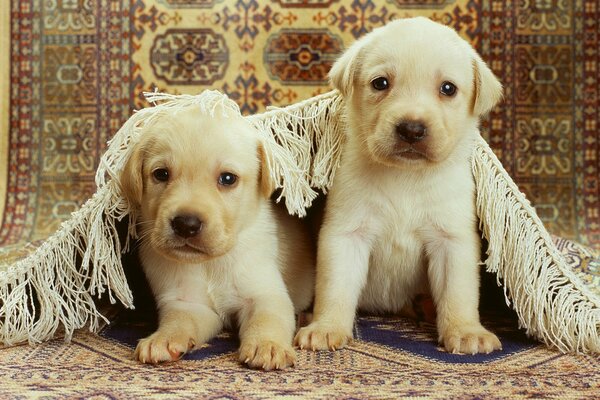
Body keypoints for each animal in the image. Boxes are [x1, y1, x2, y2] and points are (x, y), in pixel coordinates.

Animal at [122, 100, 316, 368]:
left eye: (227, 178)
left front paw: (267, 345)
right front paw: (162, 339)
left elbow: (267, 319)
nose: (186, 224)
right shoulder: (189, 304)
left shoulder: (265, 294)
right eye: (161, 174)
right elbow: (178, 322)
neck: (210, 264)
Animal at [296, 15, 502, 354]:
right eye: (380, 83)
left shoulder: (452, 240)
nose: (412, 129)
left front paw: (466, 330)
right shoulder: (346, 234)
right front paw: (326, 327)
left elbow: (459, 293)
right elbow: (335, 287)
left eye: (448, 88)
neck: (406, 176)